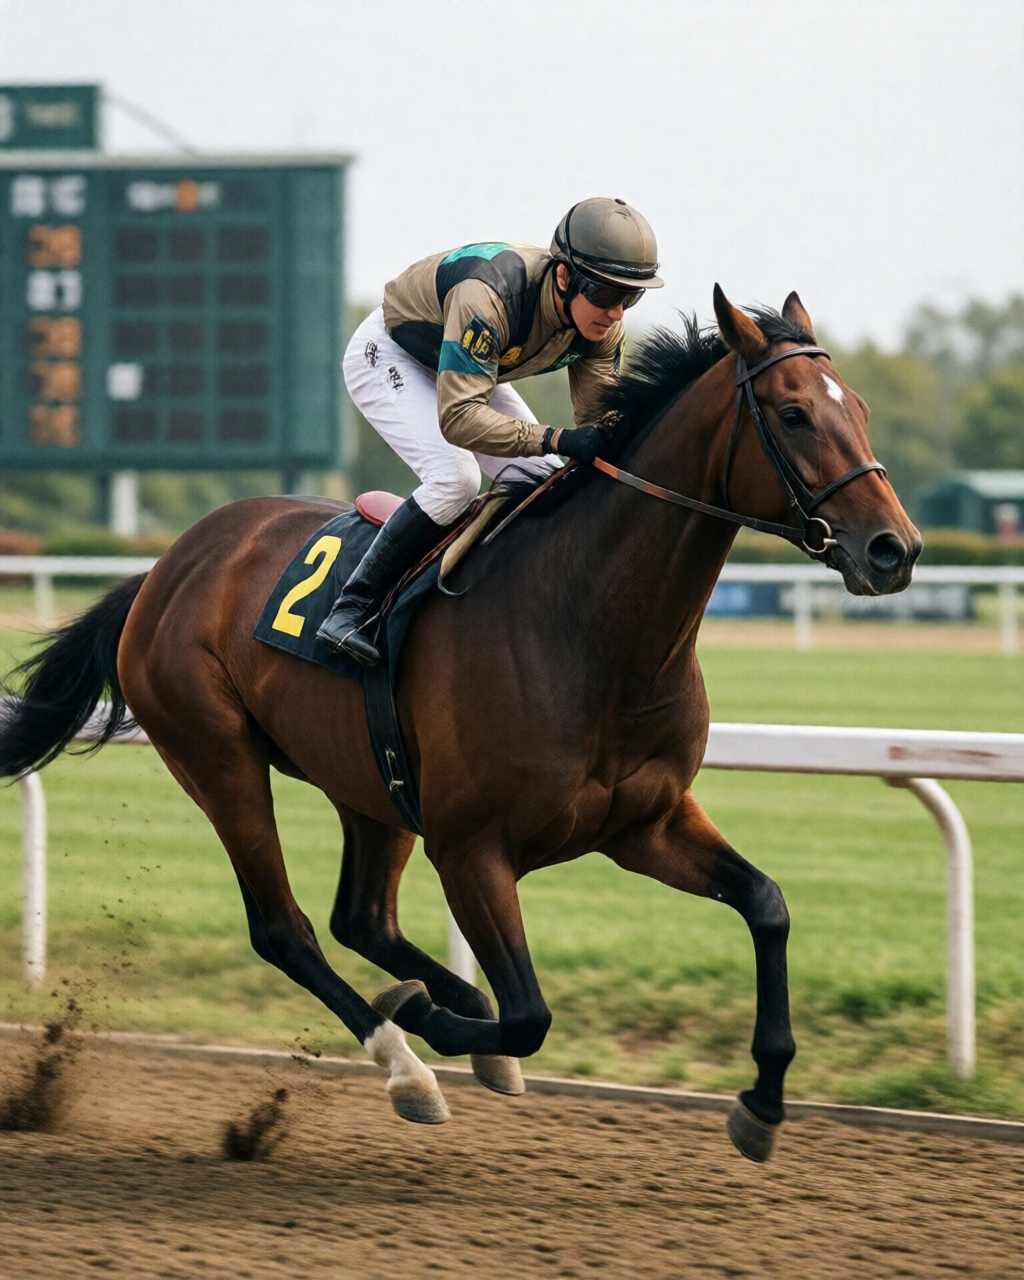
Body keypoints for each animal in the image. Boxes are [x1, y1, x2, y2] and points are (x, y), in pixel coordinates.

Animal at [0, 287, 921, 1161]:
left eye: (860, 407)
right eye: (794, 414)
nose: (895, 549)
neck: (592, 627)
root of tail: (162, 570)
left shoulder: (645, 823)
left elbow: (766, 905)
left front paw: (762, 1101)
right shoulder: (473, 848)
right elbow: (531, 1012)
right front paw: (437, 1024)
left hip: (370, 782)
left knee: (360, 918)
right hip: (217, 757)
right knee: (286, 930)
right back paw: (405, 1061)